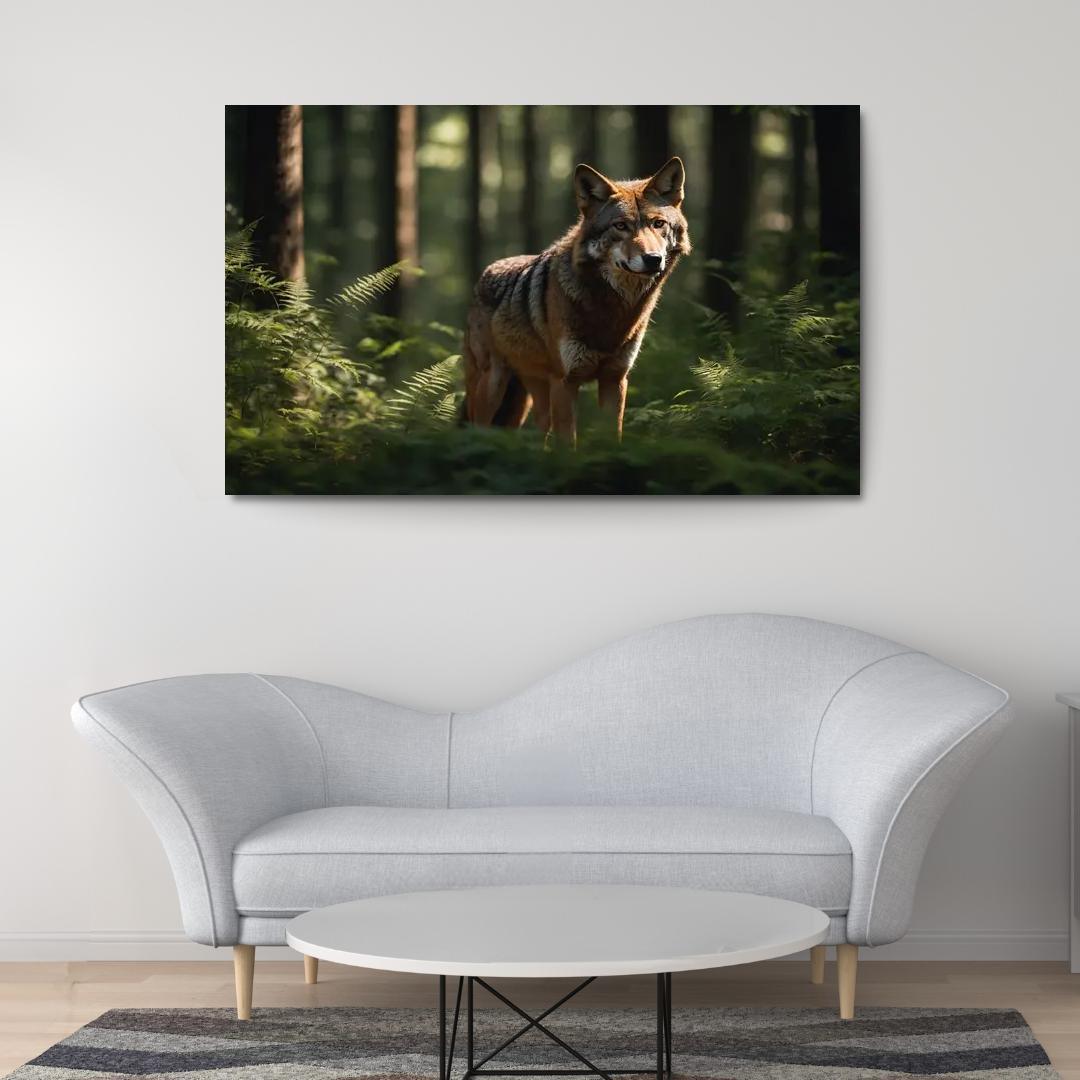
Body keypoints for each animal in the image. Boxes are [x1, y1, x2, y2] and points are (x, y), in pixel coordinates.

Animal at [463, 157, 690, 443]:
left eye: (658, 224)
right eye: (621, 226)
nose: (652, 259)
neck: (612, 313)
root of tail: (484, 274)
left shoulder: (615, 379)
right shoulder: (566, 381)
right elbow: (568, 444)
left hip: (530, 398)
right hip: (492, 386)